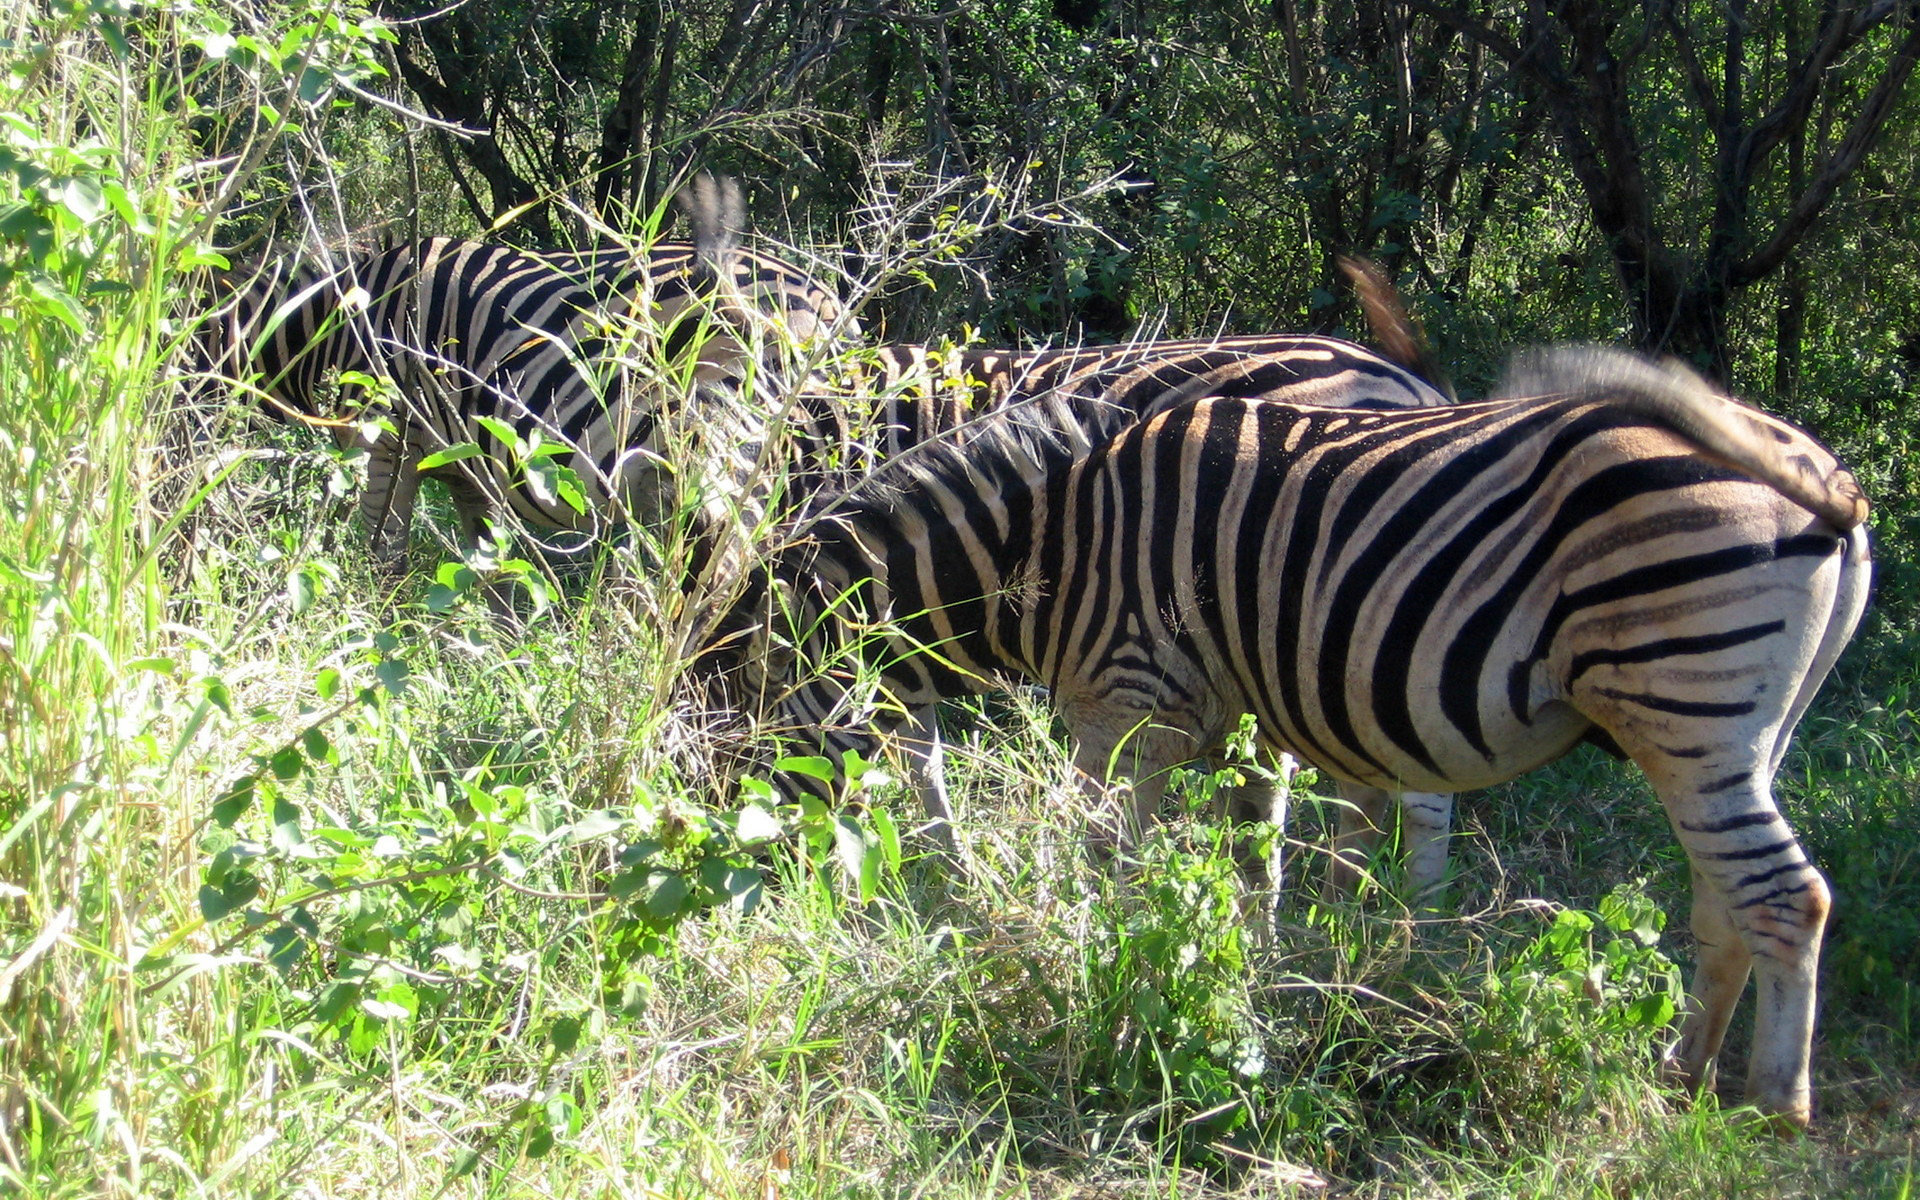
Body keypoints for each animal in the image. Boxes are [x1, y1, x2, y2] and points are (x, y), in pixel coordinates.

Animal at [709, 345, 1871, 1128]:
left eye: (750, 725)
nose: (755, 913)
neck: (1050, 544)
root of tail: (1827, 478)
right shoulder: (1239, 708)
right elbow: (1247, 854)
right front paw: (1249, 984)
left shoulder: (1127, 704)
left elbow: (1107, 861)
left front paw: (1091, 978)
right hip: (1735, 730)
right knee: (1726, 900)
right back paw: (1682, 1073)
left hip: (1686, 695)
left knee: (1788, 899)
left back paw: (1771, 1107)